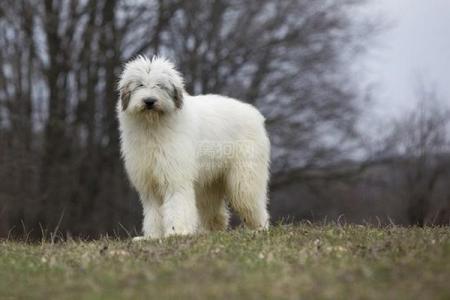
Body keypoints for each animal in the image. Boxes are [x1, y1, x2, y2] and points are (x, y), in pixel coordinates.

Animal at [117, 55, 270, 239]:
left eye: (160, 85)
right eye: (139, 85)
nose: (149, 101)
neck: (152, 127)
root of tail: (255, 114)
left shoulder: (174, 175)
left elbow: (177, 202)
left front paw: (176, 232)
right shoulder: (148, 181)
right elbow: (153, 212)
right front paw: (152, 236)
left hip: (245, 177)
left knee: (250, 201)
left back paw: (259, 228)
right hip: (210, 180)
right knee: (215, 212)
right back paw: (209, 231)